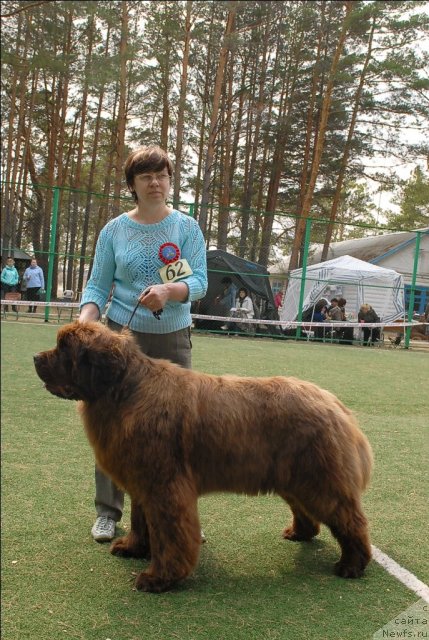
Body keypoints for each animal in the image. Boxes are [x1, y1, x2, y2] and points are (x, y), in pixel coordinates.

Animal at [34, 322, 372, 592]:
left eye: (64, 348)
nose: (36, 358)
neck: (126, 392)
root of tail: (335, 404)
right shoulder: (143, 483)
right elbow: (141, 521)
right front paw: (133, 548)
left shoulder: (165, 487)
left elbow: (169, 535)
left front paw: (159, 578)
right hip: (293, 477)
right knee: (309, 512)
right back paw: (300, 534)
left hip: (319, 479)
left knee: (350, 519)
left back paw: (352, 565)